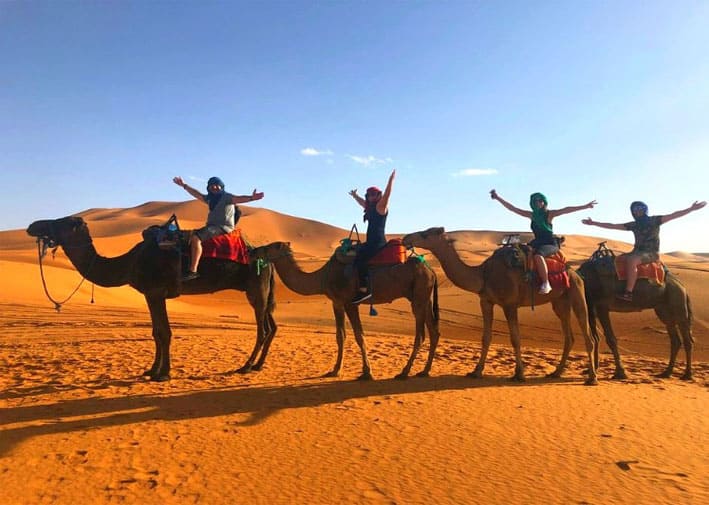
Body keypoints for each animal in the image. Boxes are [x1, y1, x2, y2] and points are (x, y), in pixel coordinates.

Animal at [24, 215, 276, 380]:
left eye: (62, 222)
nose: (32, 225)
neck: (129, 263)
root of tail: (268, 259)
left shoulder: (155, 292)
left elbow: (164, 333)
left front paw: (163, 374)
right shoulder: (150, 294)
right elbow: (156, 333)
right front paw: (152, 370)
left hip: (256, 287)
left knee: (262, 329)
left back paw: (245, 366)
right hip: (260, 290)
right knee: (271, 326)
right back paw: (258, 366)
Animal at [249, 240, 436, 378]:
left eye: (270, 247)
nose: (253, 251)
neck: (323, 277)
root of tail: (431, 271)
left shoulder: (349, 302)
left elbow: (357, 336)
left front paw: (364, 373)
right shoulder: (337, 302)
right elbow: (342, 336)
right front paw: (338, 370)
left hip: (419, 296)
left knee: (420, 335)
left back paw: (405, 372)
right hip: (423, 297)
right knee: (434, 332)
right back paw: (424, 371)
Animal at [402, 226, 596, 384]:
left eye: (426, 233)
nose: (406, 238)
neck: (483, 274)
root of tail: (572, 270)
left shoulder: (510, 304)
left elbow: (515, 339)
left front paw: (519, 375)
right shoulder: (486, 301)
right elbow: (486, 337)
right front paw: (476, 372)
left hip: (576, 291)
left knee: (588, 334)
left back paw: (592, 378)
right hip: (559, 301)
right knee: (569, 336)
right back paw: (556, 372)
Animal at [580, 243, 696, 378]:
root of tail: (682, 287)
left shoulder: (602, 307)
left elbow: (610, 339)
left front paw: (620, 372)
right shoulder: (591, 308)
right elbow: (595, 337)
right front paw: (593, 370)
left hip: (678, 305)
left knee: (687, 340)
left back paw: (687, 374)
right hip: (664, 311)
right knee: (675, 340)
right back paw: (667, 372)